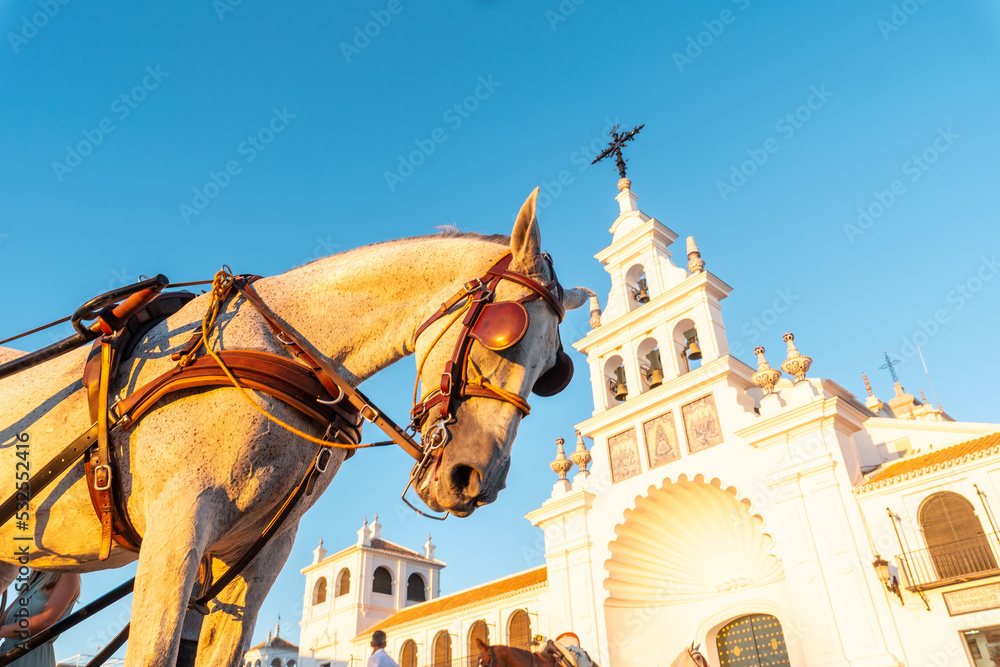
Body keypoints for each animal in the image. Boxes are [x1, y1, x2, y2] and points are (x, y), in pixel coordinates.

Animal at [0, 189, 587, 667]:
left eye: (553, 373)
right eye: (501, 330)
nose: (474, 478)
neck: (280, 348)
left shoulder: (261, 554)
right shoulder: (175, 526)